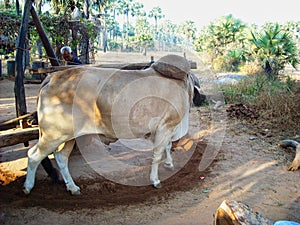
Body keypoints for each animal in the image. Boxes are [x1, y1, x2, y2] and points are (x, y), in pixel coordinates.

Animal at [23, 54, 204, 195]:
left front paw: (169, 163)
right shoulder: (165, 127)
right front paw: (155, 180)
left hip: (68, 136)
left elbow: (167, 146)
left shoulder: (165, 129)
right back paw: (28, 187)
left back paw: (73, 188)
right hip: (53, 134)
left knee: (61, 157)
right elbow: (158, 153)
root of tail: (51, 77)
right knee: (33, 155)